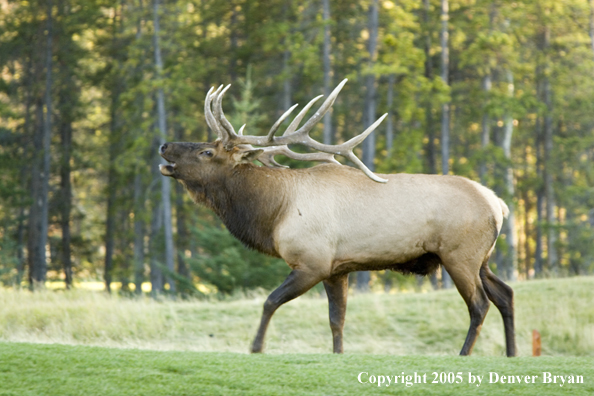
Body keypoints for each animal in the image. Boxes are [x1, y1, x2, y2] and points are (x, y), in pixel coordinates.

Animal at [157, 79, 512, 356]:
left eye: (206, 152)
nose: (164, 145)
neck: (273, 214)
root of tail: (499, 204)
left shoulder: (312, 261)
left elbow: (270, 301)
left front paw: (256, 347)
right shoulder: (337, 269)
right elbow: (336, 319)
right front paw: (338, 354)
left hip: (460, 255)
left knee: (480, 304)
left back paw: (464, 354)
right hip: (482, 259)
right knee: (505, 294)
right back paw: (512, 353)